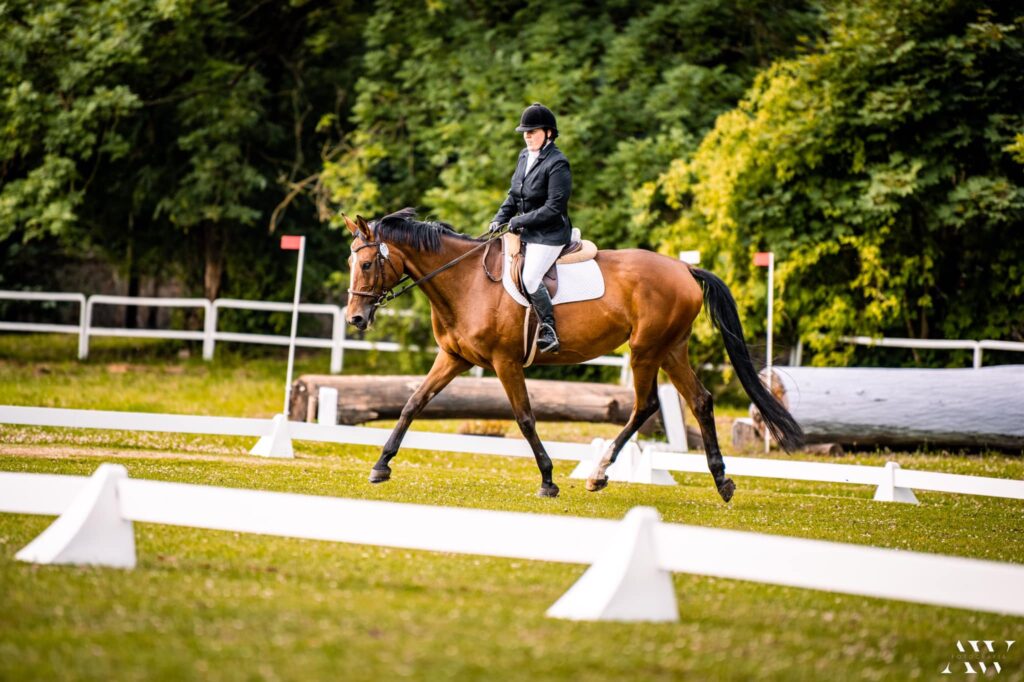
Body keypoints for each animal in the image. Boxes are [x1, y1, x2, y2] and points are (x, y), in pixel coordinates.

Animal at [339, 206, 802, 499]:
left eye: (367, 264)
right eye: (351, 263)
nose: (355, 319)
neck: (466, 281)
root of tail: (684, 268)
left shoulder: (505, 362)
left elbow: (525, 418)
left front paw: (548, 480)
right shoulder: (454, 358)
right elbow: (413, 403)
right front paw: (381, 466)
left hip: (645, 350)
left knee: (646, 404)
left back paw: (599, 473)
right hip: (671, 349)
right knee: (700, 401)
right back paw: (721, 481)